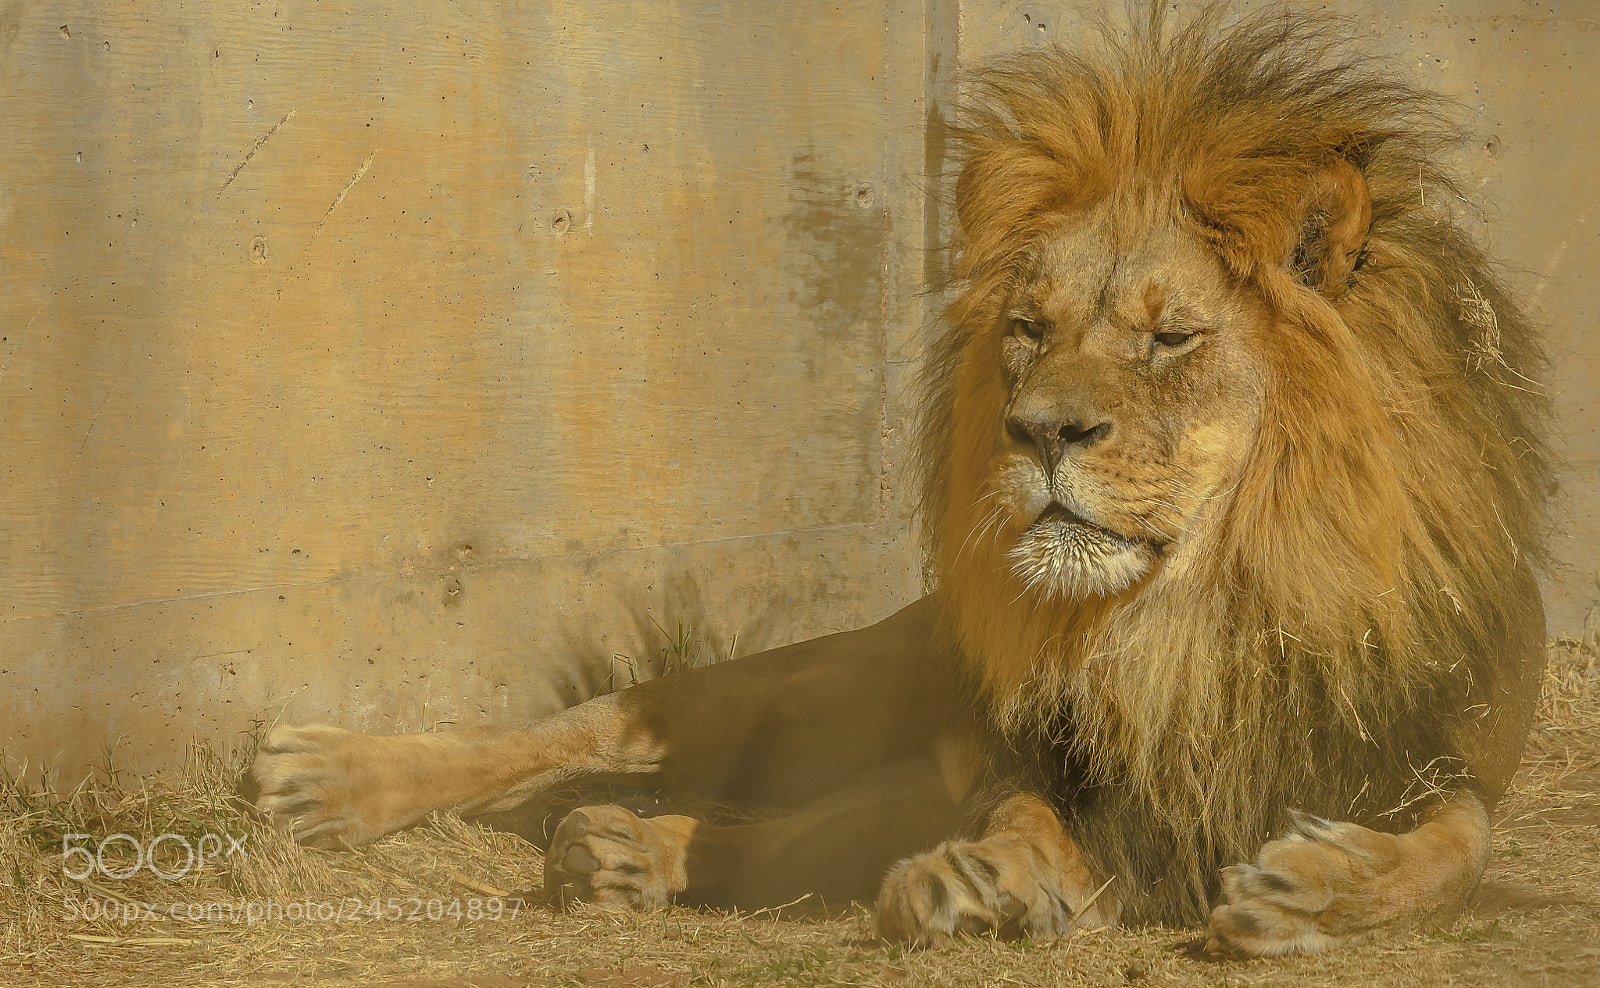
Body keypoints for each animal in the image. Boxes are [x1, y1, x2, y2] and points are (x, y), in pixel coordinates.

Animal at [250, 6, 1549, 956]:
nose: (1037, 429)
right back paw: (331, 778)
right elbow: (1025, 815)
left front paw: (1313, 890)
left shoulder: (1425, 753)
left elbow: (1459, 849)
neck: (1191, 621)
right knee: (603, 722)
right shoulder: (1030, 755)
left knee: (780, 830)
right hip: (836, 678)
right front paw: (997, 880)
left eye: (1169, 338)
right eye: (1028, 328)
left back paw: (618, 853)